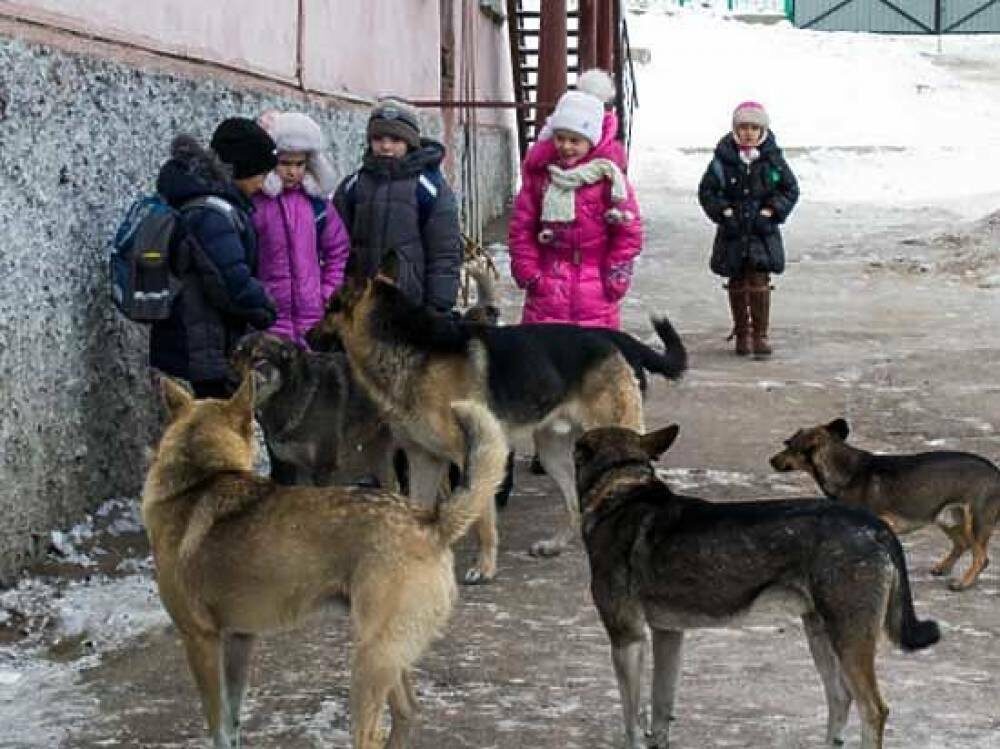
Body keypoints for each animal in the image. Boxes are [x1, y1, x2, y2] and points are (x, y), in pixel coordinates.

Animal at [141, 374, 508, 748]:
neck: (197, 481)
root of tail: (429, 520)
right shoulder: (239, 641)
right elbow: (233, 722)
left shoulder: (200, 641)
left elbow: (218, 726)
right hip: (390, 656)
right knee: (407, 713)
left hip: (369, 659)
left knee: (369, 734)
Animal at [306, 254, 688, 580]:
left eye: (328, 306)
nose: (307, 336)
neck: (410, 346)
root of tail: (618, 340)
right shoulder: (422, 459)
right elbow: (419, 508)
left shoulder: (473, 455)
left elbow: (483, 519)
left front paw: (484, 567)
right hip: (553, 452)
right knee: (574, 503)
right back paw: (556, 545)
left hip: (616, 438)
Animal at [576, 420, 940, 748]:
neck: (621, 488)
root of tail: (876, 526)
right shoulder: (668, 634)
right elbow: (661, 711)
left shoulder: (626, 638)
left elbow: (631, 720)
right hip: (821, 634)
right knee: (839, 698)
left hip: (849, 639)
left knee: (873, 710)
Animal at [768, 418, 1000, 588]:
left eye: (789, 445)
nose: (771, 460)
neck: (843, 470)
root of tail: (995, 471)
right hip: (946, 517)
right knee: (962, 544)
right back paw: (942, 568)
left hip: (975, 520)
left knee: (981, 557)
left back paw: (963, 583)